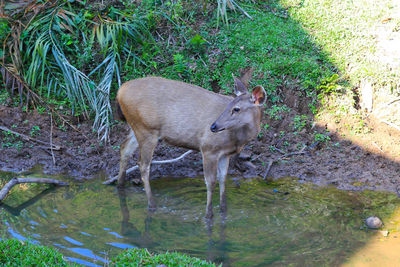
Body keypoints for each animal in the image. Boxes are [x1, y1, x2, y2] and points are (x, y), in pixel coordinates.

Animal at [115, 76, 266, 219]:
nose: (213, 126)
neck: (237, 139)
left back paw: (120, 185)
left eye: (236, 108)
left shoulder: (225, 154)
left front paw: (223, 210)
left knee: (124, 148)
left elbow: (223, 178)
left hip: (137, 127)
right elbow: (210, 182)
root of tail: (120, 91)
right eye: (229, 105)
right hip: (147, 129)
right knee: (143, 164)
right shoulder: (208, 148)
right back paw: (151, 204)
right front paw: (208, 215)